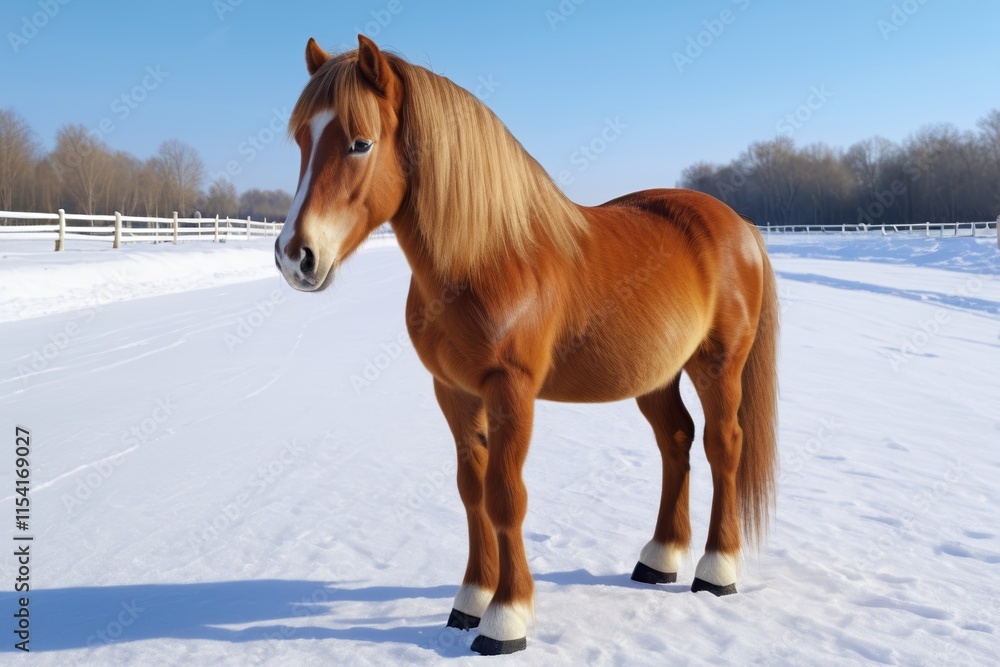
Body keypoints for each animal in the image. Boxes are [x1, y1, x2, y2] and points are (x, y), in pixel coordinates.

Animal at [274, 35, 779, 656]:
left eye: (360, 142)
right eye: (302, 139)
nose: (295, 257)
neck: (488, 258)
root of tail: (739, 225)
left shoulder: (511, 392)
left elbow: (505, 497)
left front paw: (505, 618)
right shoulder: (453, 392)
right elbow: (471, 491)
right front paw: (470, 600)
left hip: (718, 365)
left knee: (722, 445)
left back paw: (716, 570)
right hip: (657, 376)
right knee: (677, 441)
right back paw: (660, 558)